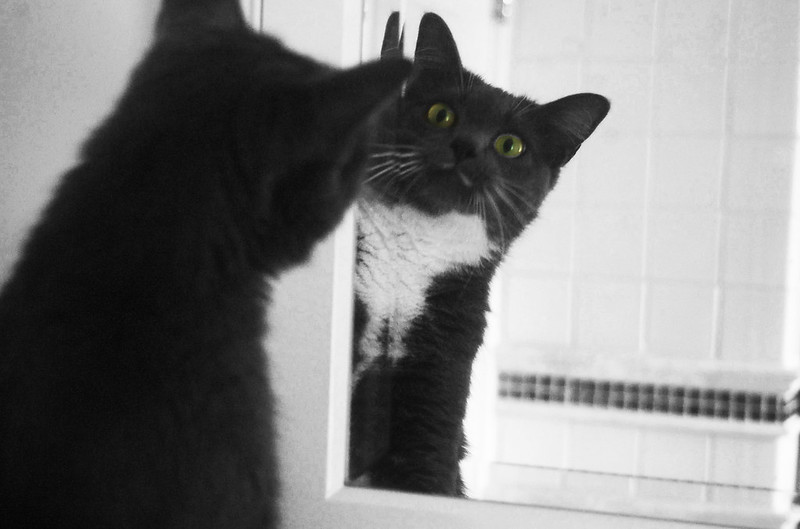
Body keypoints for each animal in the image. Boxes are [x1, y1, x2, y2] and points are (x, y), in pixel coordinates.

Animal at [348, 12, 608, 498]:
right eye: (441, 113)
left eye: (510, 145)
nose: (465, 145)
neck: (412, 250)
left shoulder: (442, 364)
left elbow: (427, 467)